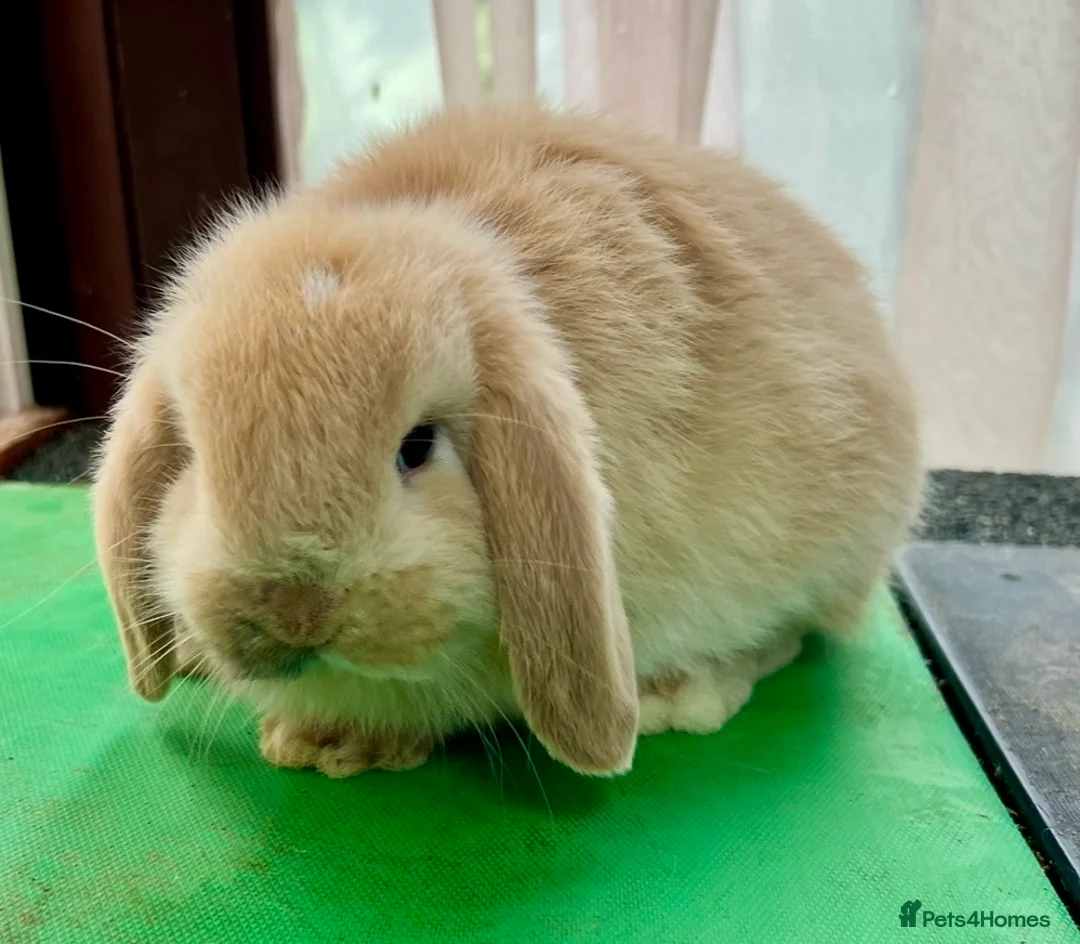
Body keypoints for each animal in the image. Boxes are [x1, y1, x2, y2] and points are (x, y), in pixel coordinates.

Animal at [92, 106, 922, 779]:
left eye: (418, 446)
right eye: (196, 458)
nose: (298, 609)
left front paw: (352, 746)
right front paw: (306, 740)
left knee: (788, 635)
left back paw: (680, 693)